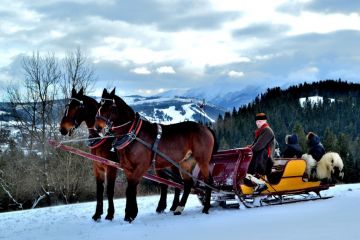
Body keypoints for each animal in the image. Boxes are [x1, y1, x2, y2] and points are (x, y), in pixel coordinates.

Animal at [59, 87, 116, 220]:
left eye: (77, 107)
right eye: (67, 105)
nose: (62, 129)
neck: (102, 137)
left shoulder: (111, 167)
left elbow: (109, 190)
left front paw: (110, 214)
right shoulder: (98, 167)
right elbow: (99, 190)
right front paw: (97, 214)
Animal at [94, 88, 215, 223]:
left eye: (110, 107)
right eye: (99, 106)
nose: (97, 128)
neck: (134, 134)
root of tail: (205, 128)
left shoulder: (141, 167)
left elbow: (130, 190)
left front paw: (130, 215)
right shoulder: (128, 168)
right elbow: (131, 190)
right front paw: (129, 214)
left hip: (203, 160)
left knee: (208, 181)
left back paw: (206, 208)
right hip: (186, 162)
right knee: (188, 184)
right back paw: (179, 208)